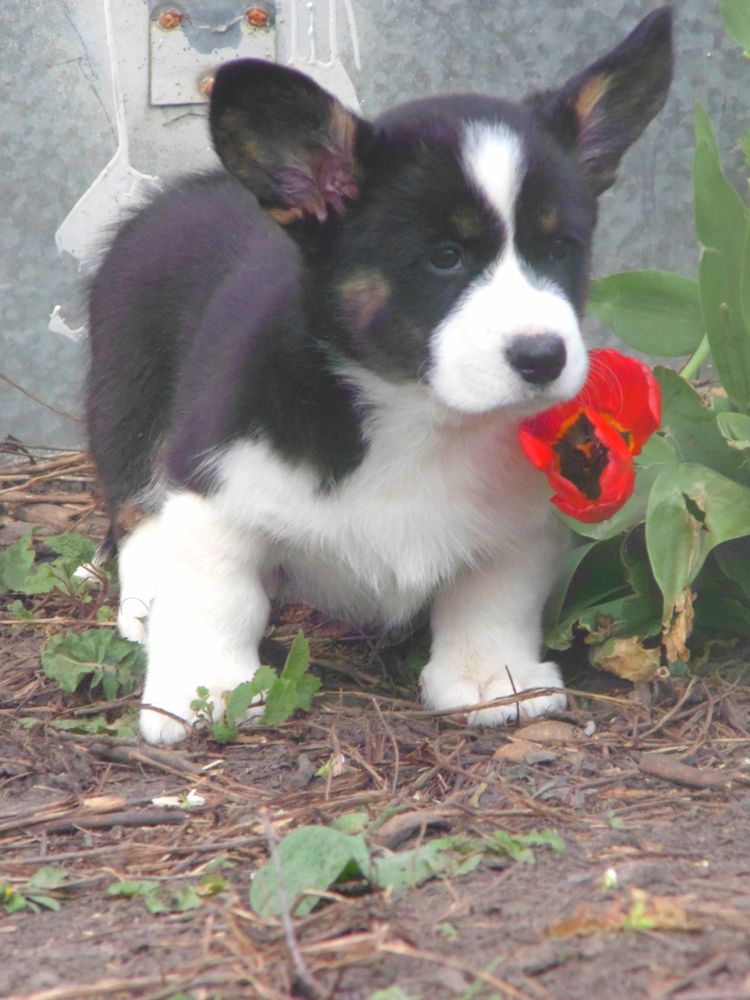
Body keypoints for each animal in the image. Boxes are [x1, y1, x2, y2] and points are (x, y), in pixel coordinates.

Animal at [86, 7, 676, 744]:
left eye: (561, 248)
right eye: (446, 257)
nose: (545, 358)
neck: (415, 412)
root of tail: (173, 196)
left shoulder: (521, 523)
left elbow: (494, 596)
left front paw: (491, 678)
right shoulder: (209, 477)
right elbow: (214, 591)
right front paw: (207, 690)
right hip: (129, 405)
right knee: (135, 511)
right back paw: (146, 598)